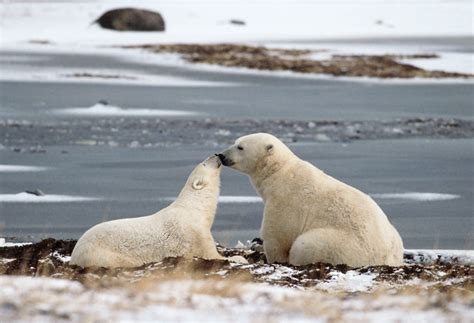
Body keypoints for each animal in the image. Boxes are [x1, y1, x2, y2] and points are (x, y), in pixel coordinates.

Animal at [71, 156, 231, 268]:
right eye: (204, 163)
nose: (217, 154)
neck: (194, 207)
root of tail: (74, 254)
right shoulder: (195, 233)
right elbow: (211, 254)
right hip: (101, 254)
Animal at [218, 133, 404, 268]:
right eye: (236, 142)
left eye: (240, 147)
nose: (221, 155)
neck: (279, 173)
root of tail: (386, 258)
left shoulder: (285, 200)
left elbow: (277, 235)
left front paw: (269, 255)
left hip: (343, 246)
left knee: (305, 244)